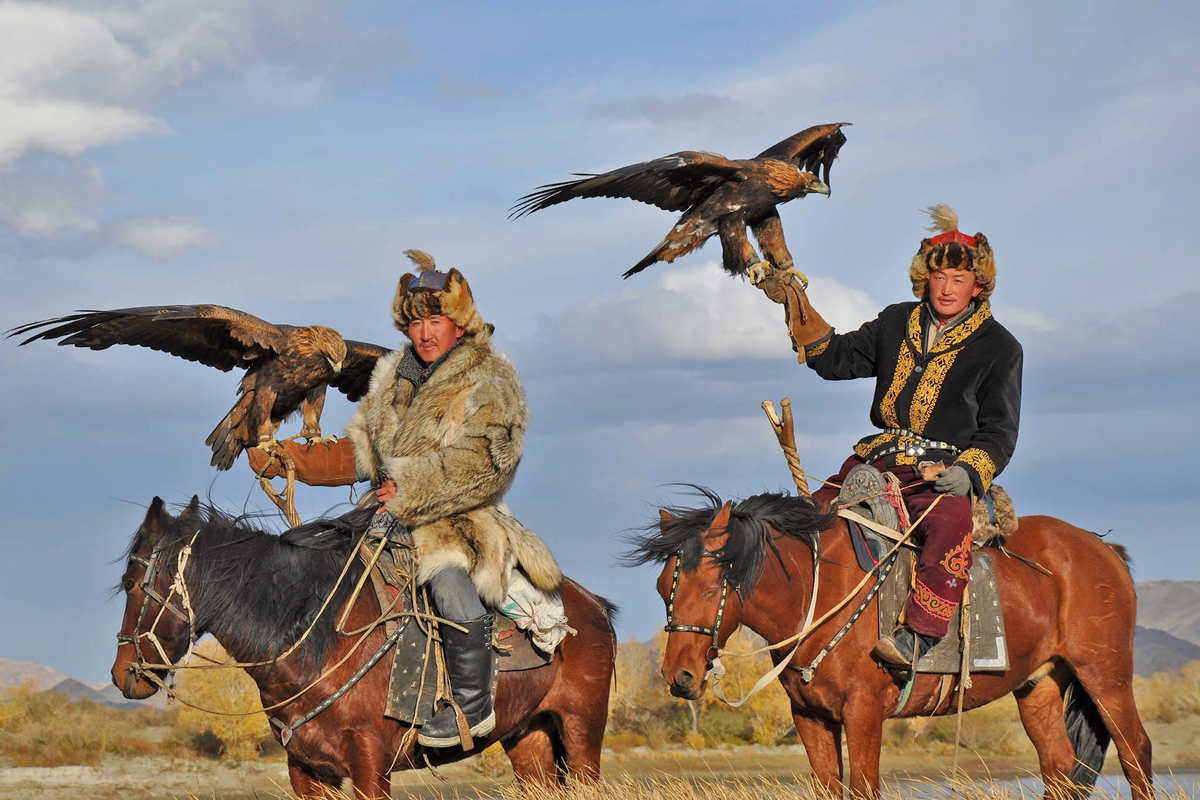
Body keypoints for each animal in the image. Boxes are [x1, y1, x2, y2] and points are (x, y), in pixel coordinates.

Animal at [110, 496, 619, 796]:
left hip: (582, 731)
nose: (121, 675)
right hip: (529, 737)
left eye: (132, 583)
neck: (317, 643)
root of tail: (593, 604)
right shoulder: (307, 770)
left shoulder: (371, 765)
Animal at [624, 491, 1147, 796]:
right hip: (1039, 685)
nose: (680, 677)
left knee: (1135, 752)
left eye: (714, 584)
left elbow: (864, 788)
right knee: (1058, 765)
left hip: (1105, 675)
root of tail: (1102, 548)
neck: (818, 594)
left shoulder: (862, 713)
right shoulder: (810, 717)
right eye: (662, 586)